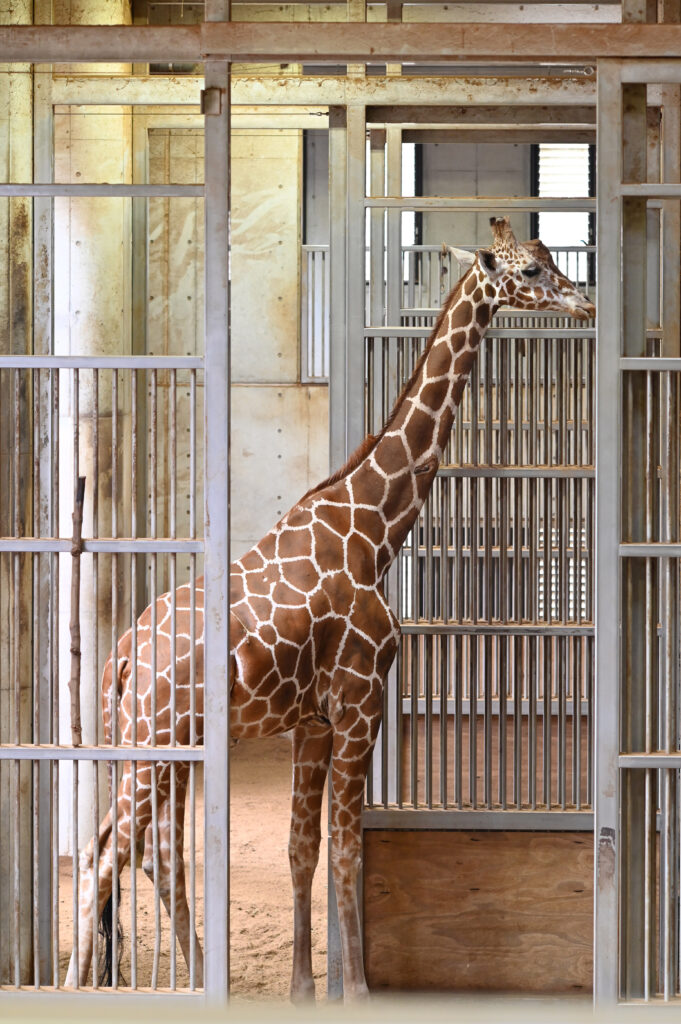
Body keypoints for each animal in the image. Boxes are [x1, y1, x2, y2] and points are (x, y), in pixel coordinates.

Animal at [65, 217, 595, 1000]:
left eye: (550, 257)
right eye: (529, 270)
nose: (584, 302)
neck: (373, 529)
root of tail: (121, 658)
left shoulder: (312, 722)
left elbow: (300, 850)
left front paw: (302, 990)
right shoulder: (360, 703)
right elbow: (346, 850)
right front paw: (362, 993)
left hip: (153, 744)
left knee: (143, 853)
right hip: (154, 745)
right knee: (110, 856)